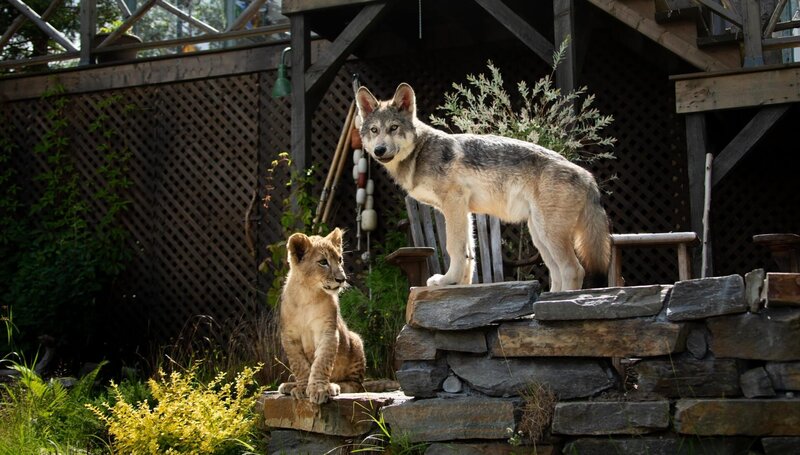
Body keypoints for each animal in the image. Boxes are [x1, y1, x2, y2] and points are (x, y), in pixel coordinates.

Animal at [355, 83, 611, 291]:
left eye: (394, 128)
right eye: (374, 130)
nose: (379, 150)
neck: (420, 152)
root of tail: (588, 176)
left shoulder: (454, 204)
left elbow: (454, 248)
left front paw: (446, 281)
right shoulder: (463, 211)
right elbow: (469, 253)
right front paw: (461, 285)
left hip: (549, 233)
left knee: (573, 270)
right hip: (539, 235)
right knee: (556, 272)